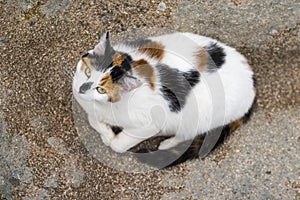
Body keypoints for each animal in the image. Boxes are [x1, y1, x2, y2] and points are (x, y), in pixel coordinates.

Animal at [73, 32, 255, 168]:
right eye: (88, 72)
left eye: (101, 89)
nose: (82, 88)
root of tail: (252, 84)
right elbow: (92, 120)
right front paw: (106, 132)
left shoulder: (150, 122)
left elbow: (119, 145)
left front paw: (112, 140)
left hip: (202, 115)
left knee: (187, 132)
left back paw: (167, 142)